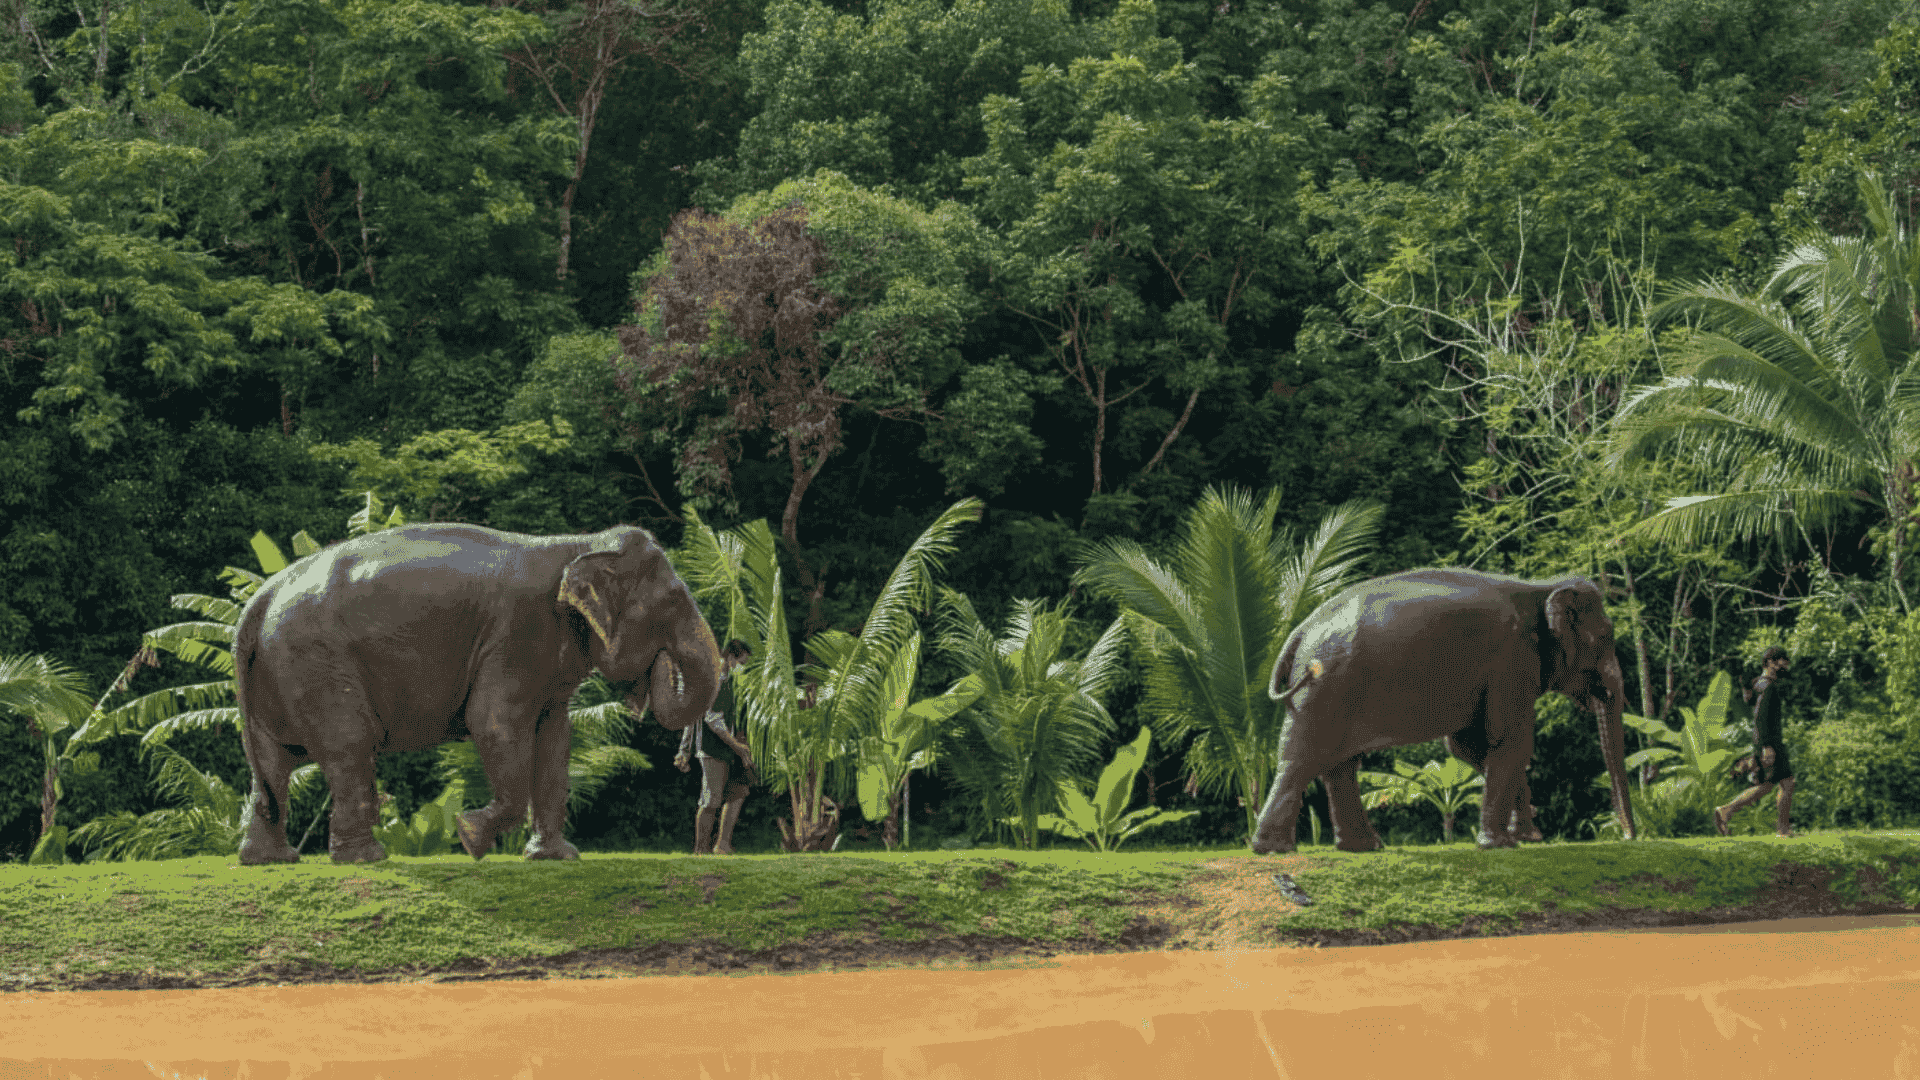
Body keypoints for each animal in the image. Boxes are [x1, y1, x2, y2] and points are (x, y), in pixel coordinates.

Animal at [232, 523, 721, 864]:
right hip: (314, 663)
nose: (660, 664)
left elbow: (555, 740)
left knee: (273, 763)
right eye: (673, 602)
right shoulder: (518, 631)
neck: (578, 543)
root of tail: (260, 598)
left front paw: (555, 857)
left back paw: (269, 860)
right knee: (350, 744)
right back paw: (365, 858)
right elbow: (494, 722)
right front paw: (469, 836)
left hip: (279, 674)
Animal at [1250, 568, 1636, 854]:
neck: (1541, 587)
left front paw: (1527, 837)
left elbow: (1468, 748)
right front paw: (1501, 844)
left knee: (1338, 766)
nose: (1630, 836)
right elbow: (1509, 741)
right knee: (1302, 759)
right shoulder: (1512, 659)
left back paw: (1362, 848)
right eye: (1606, 636)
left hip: (1327, 688)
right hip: (1326, 686)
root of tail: (1299, 632)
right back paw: (1275, 849)